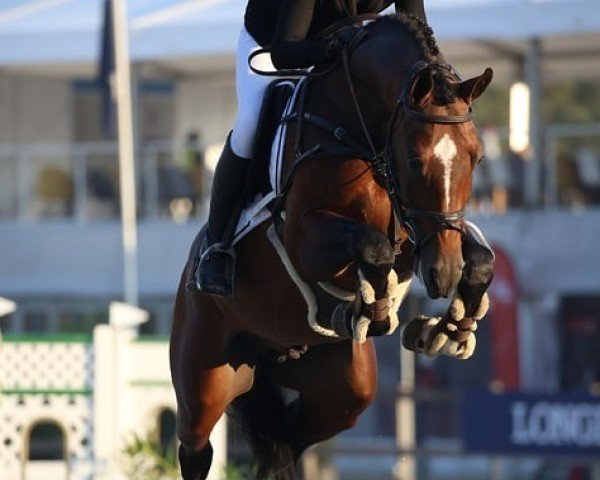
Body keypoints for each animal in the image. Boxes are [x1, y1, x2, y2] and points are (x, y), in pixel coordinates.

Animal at [169, 14, 492, 480]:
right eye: (415, 161)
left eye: (476, 158)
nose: (443, 273)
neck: (360, 133)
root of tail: (278, 351)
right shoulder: (305, 237)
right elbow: (372, 247)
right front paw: (374, 311)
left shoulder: (421, 236)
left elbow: (481, 258)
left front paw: (449, 328)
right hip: (203, 376)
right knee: (196, 445)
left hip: (343, 390)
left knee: (290, 435)